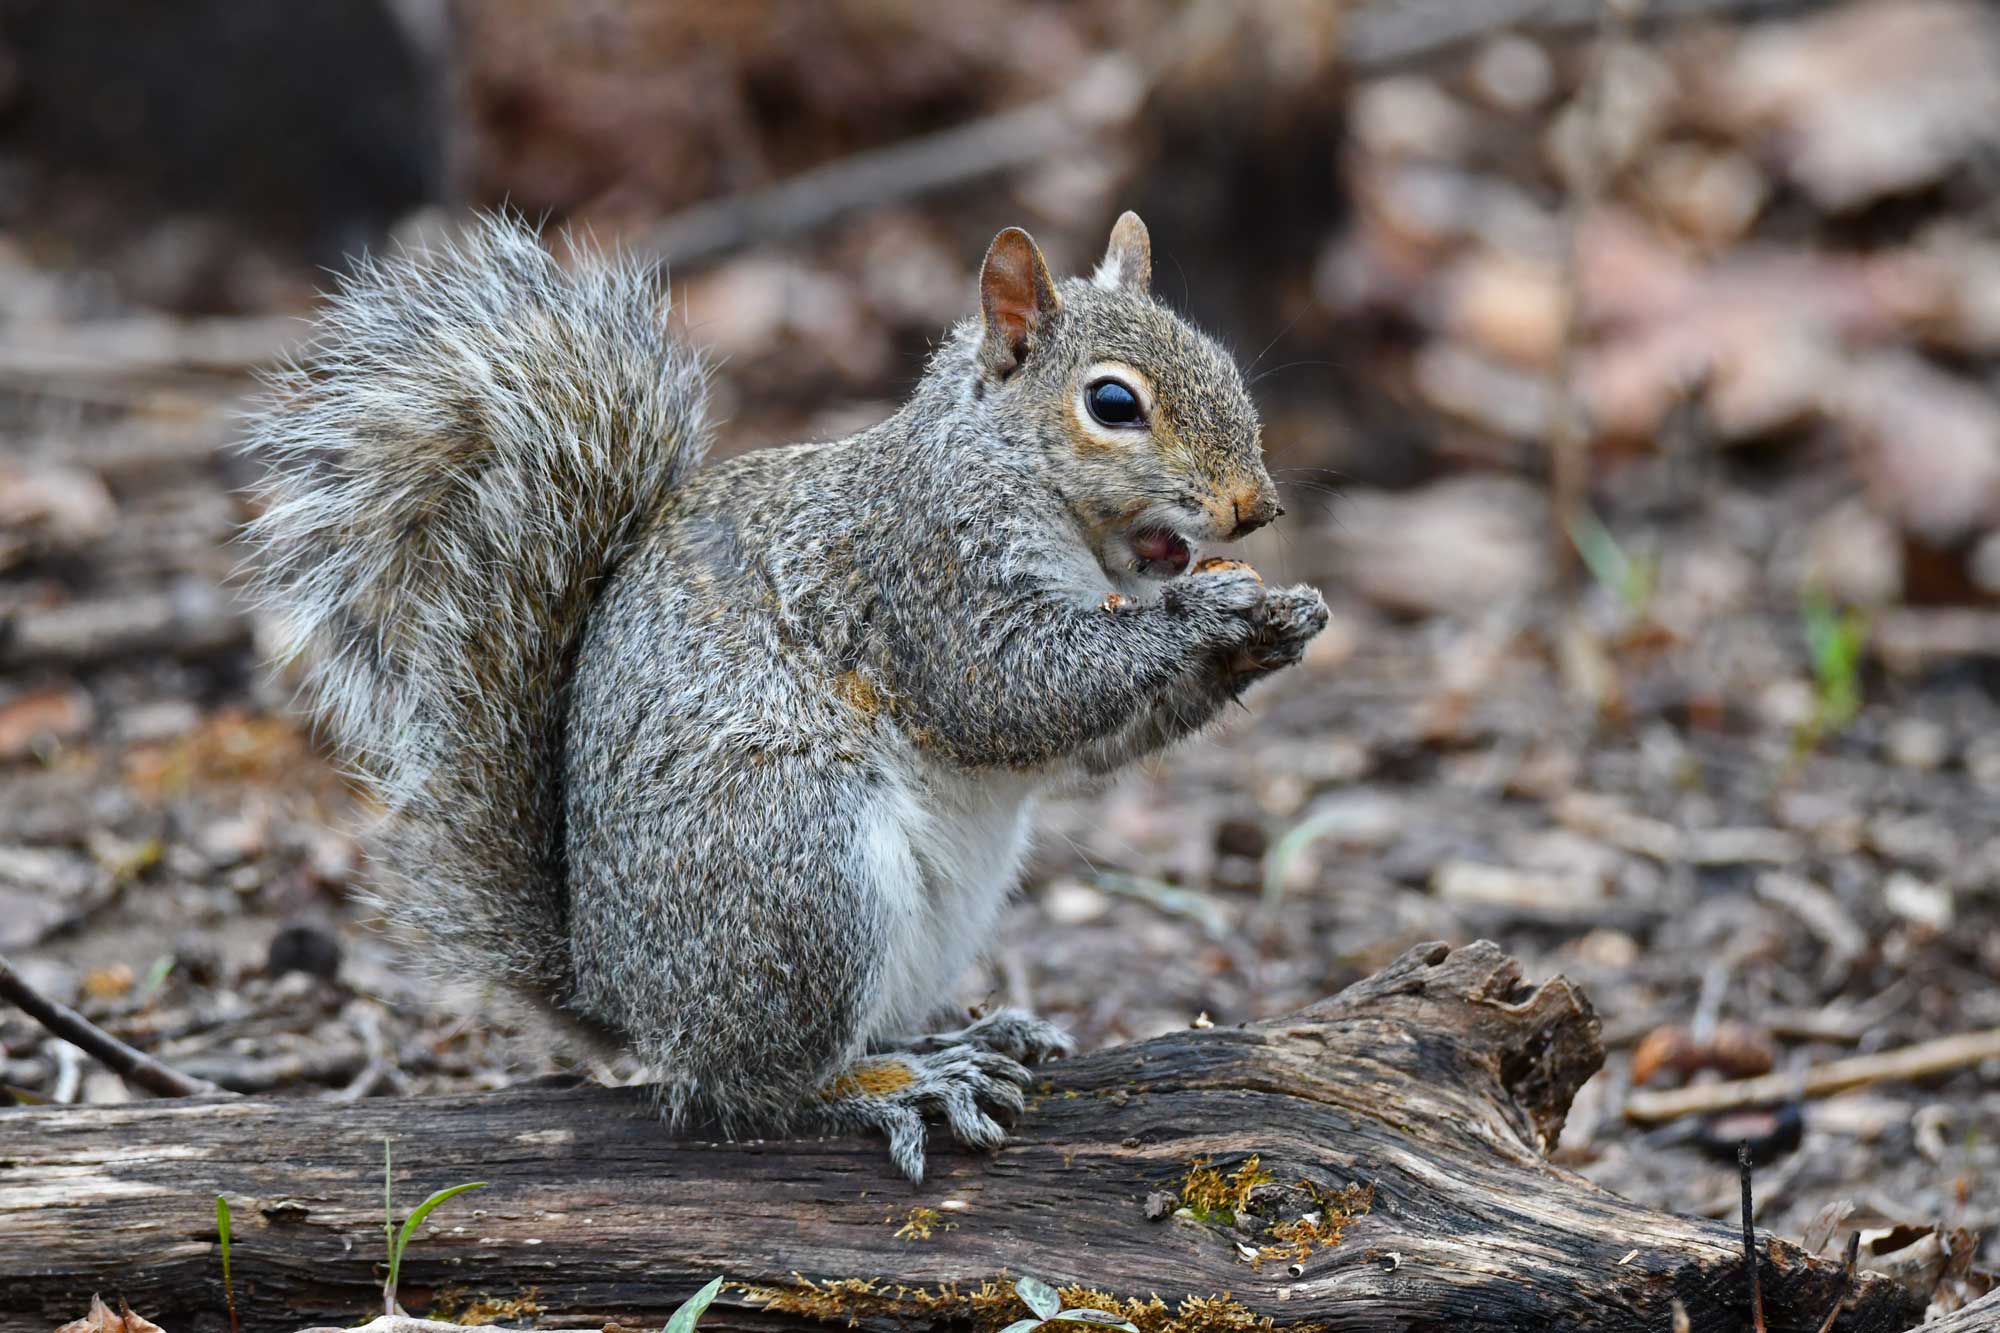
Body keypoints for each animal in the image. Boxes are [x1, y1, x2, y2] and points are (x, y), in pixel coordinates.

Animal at [243, 210, 1329, 1181]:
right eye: (1111, 403)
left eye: (1220, 360)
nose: (1256, 508)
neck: (1008, 476)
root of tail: (620, 993)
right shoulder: (925, 582)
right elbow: (1015, 692)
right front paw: (1208, 611)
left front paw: (1279, 622)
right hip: (796, 864)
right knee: (745, 1089)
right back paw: (895, 1085)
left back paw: (957, 1036)